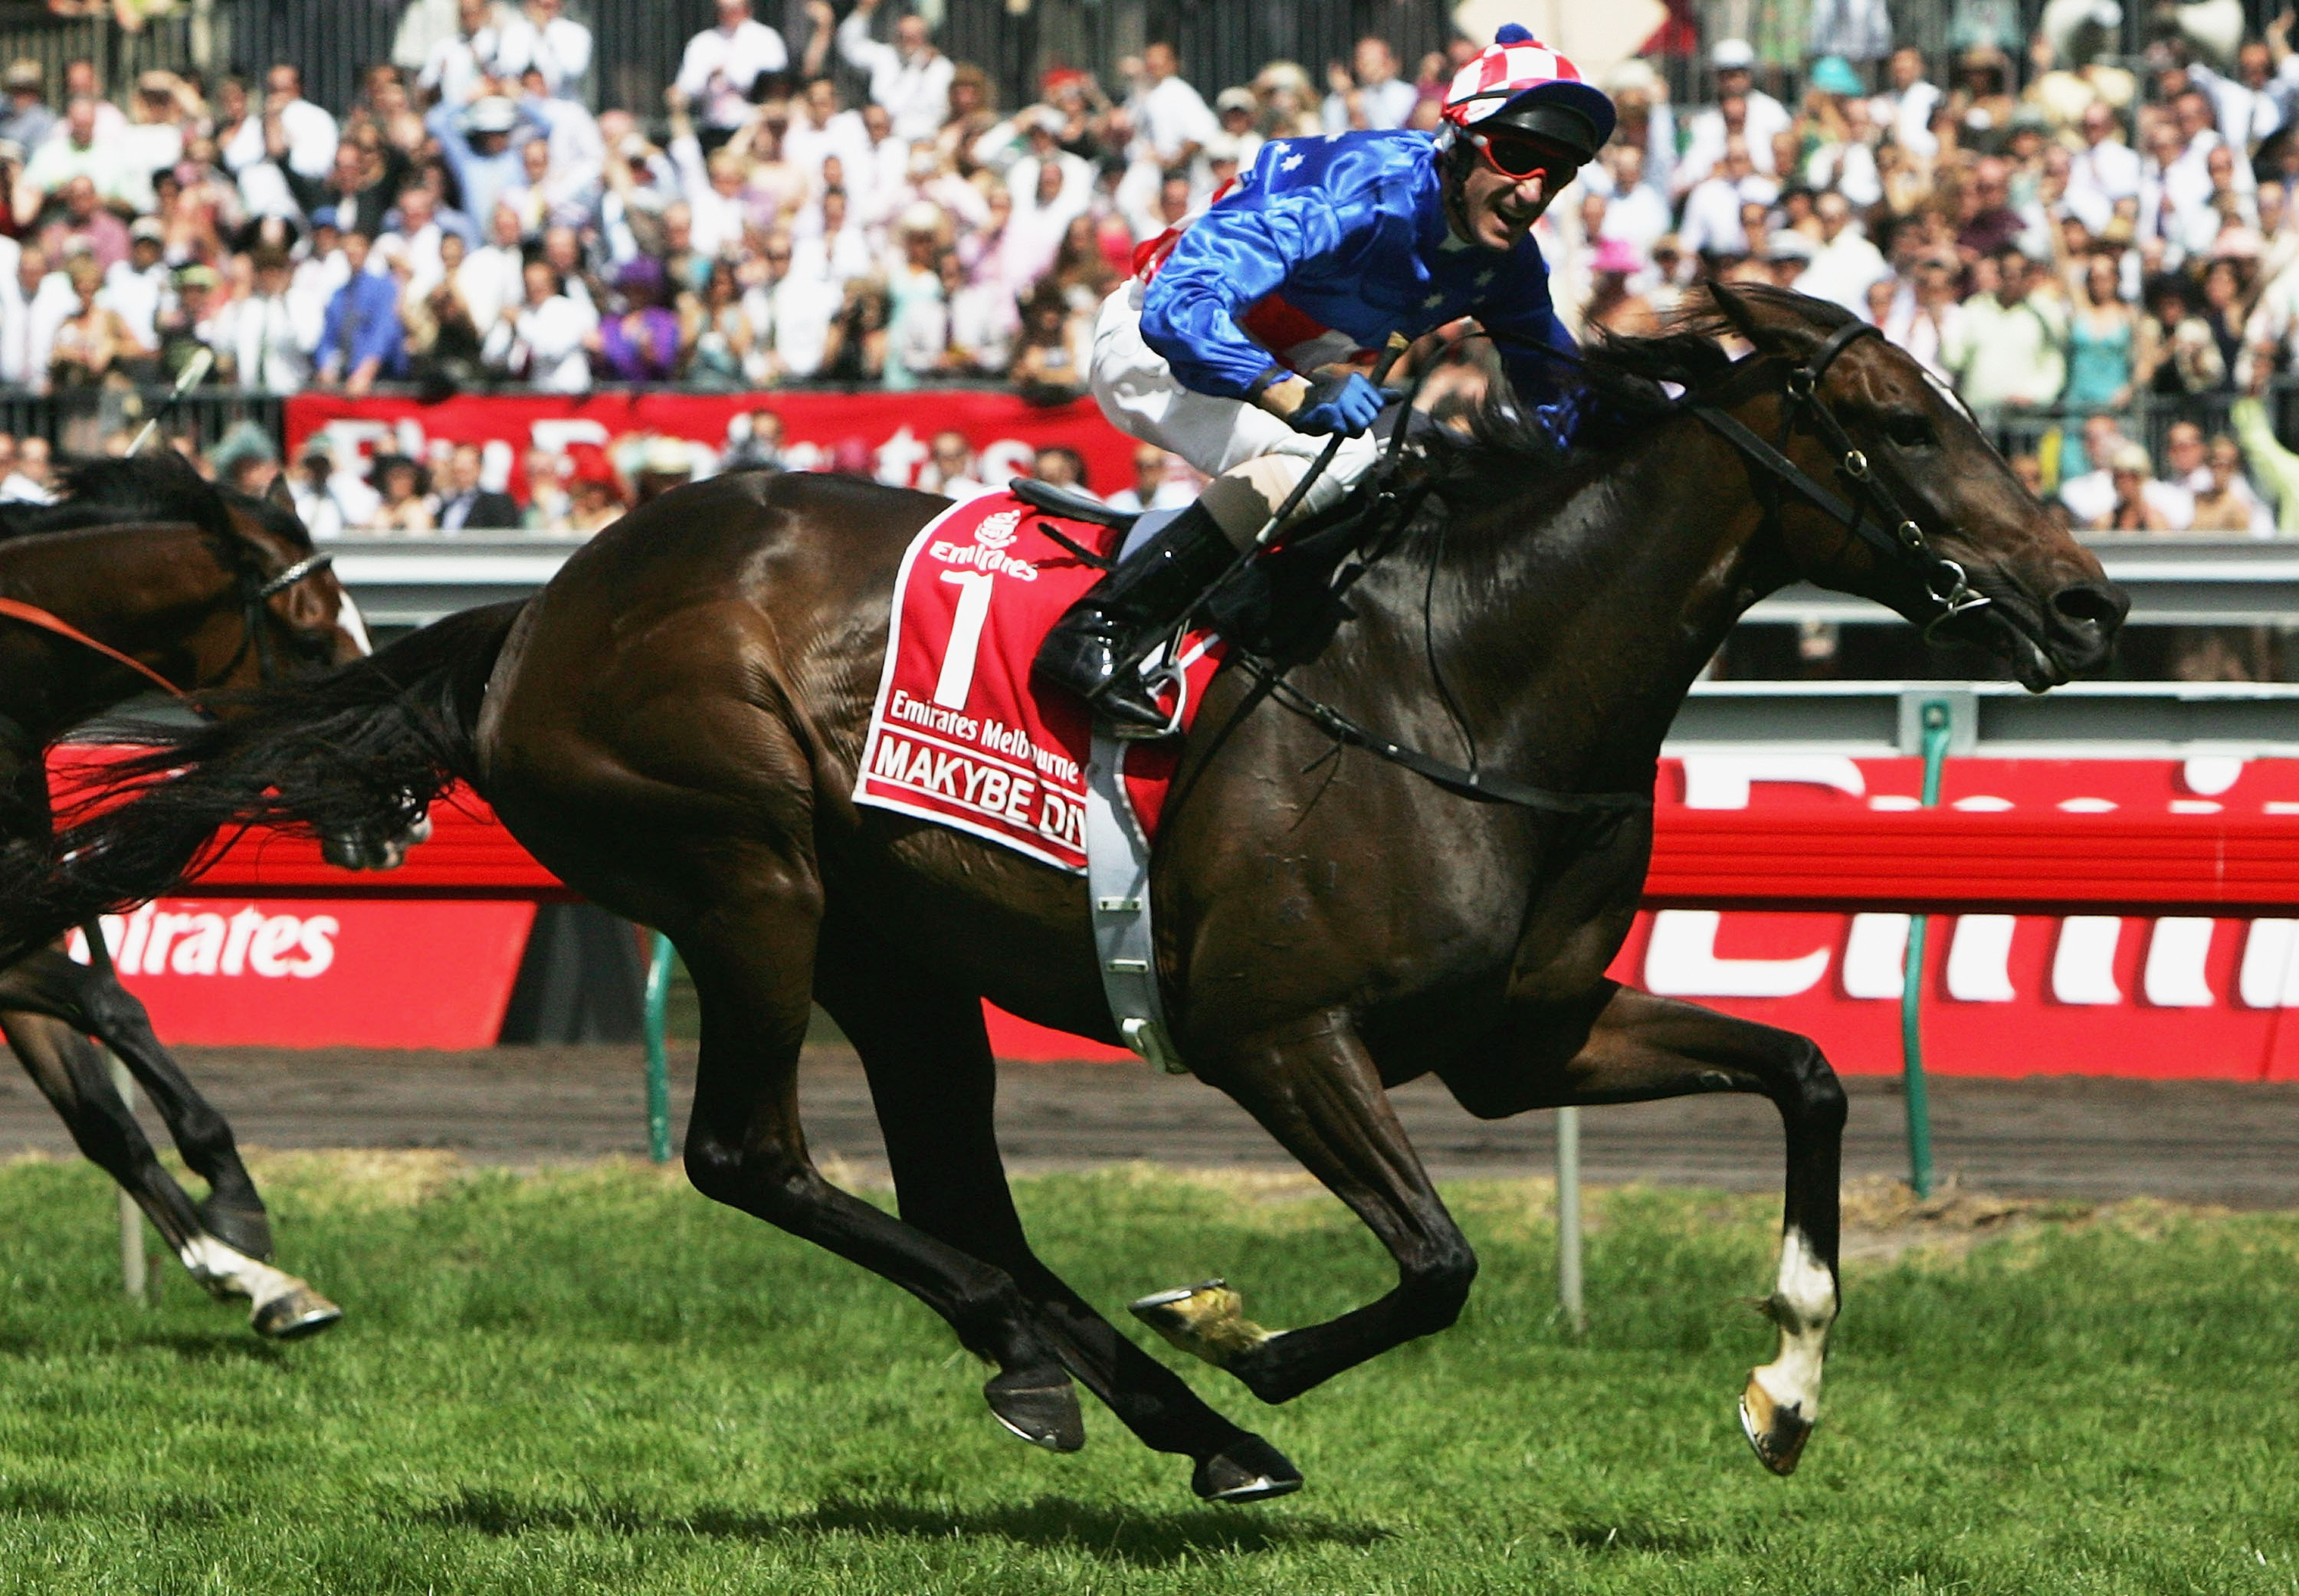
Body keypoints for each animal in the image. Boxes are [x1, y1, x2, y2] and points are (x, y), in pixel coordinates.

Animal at [0, 455, 370, 1342]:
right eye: (314, 642)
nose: (401, 805)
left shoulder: (19, 923)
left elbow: (104, 1117)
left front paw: (256, 1275)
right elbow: (109, 1002)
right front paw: (231, 1190)